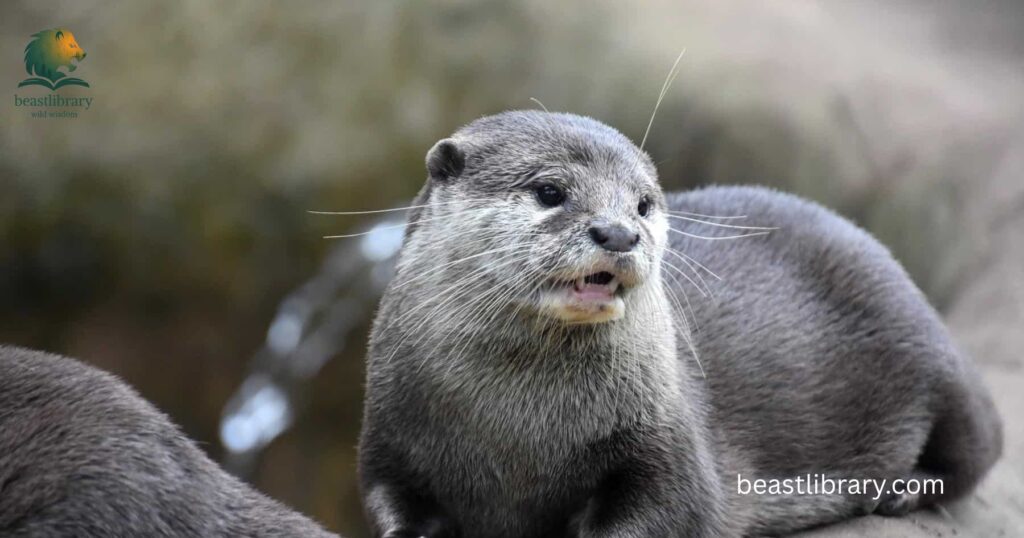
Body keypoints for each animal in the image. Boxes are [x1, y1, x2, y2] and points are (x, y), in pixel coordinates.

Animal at [358, 110, 1002, 537]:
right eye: (549, 190)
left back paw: (901, 492)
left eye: (643, 203)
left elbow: (674, 508)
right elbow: (391, 502)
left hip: (925, 348)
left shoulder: (667, 438)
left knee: (982, 446)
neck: (517, 430)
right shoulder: (389, 436)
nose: (619, 232)